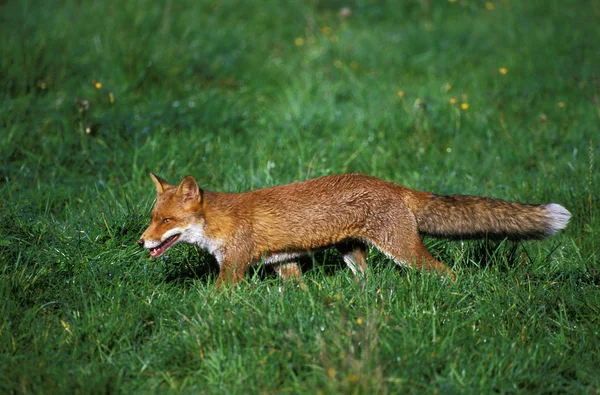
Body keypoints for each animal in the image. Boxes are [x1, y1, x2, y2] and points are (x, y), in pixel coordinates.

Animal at [137, 172, 572, 286]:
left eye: (167, 221)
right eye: (152, 217)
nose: (141, 241)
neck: (220, 220)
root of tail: (391, 184)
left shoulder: (234, 268)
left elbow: (213, 301)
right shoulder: (284, 262)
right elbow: (297, 291)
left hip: (402, 251)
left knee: (445, 272)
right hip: (352, 253)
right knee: (366, 282)